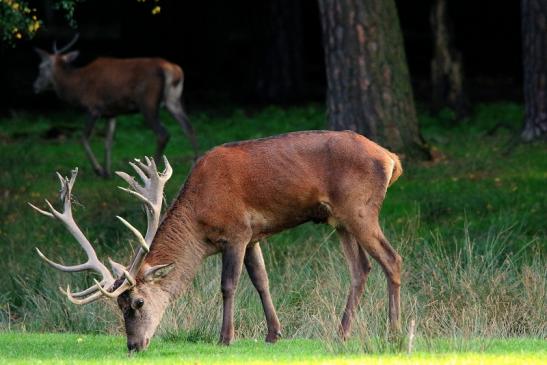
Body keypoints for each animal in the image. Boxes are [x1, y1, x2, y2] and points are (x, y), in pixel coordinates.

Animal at [32, 129, 404, 352]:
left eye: (136, 303)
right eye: (118, 306)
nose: (133, 345)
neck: (200, 221)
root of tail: (391, 159)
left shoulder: (237, 231)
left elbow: (229, 284)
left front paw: (225, 338)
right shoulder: (254, 236)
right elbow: (262, 281)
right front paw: (273, 334)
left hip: (360, 209)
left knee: (392, 259)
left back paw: (393, 333)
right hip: (339, 219)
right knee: (361, 269)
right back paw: (341, 334)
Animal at [33, 34, 199, 177]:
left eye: (41, 67)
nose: (35, 86)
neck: (77, 88)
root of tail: (174, 71)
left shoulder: (94, 107)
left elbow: (83, 137)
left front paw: (99, 170)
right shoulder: (111, 113)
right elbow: (108, 141)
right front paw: (108, 172)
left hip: (148, 102)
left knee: (163, 133)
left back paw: (153, 171)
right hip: (173, 100)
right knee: (188, 127)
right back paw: (196, 162)